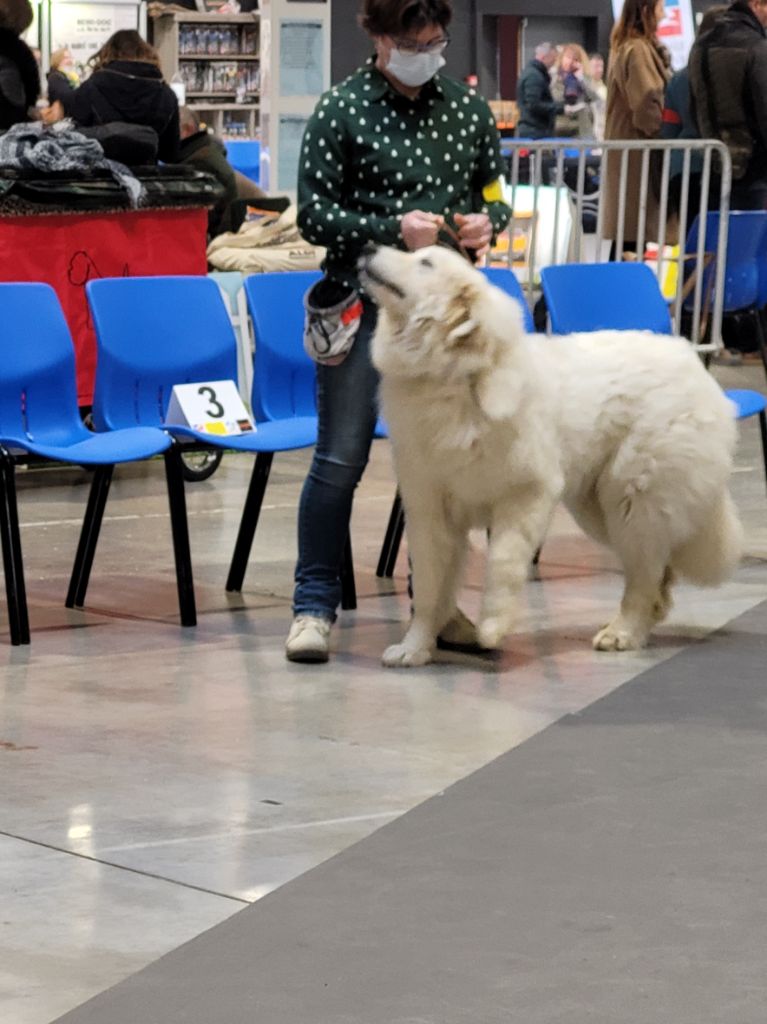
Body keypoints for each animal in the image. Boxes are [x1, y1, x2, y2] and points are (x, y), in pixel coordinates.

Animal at [358, 243, 741, 667]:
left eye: (425, 263)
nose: (370, 247)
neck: (454, 378)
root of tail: (691, 360)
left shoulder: (524, 495)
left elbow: (502, 566)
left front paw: (491, 628)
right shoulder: (429, 508)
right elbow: (428, 586)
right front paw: (414, 648)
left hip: (633, 501)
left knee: (644, 576)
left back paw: (621, 632)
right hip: (600, 509)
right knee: (658, 573)